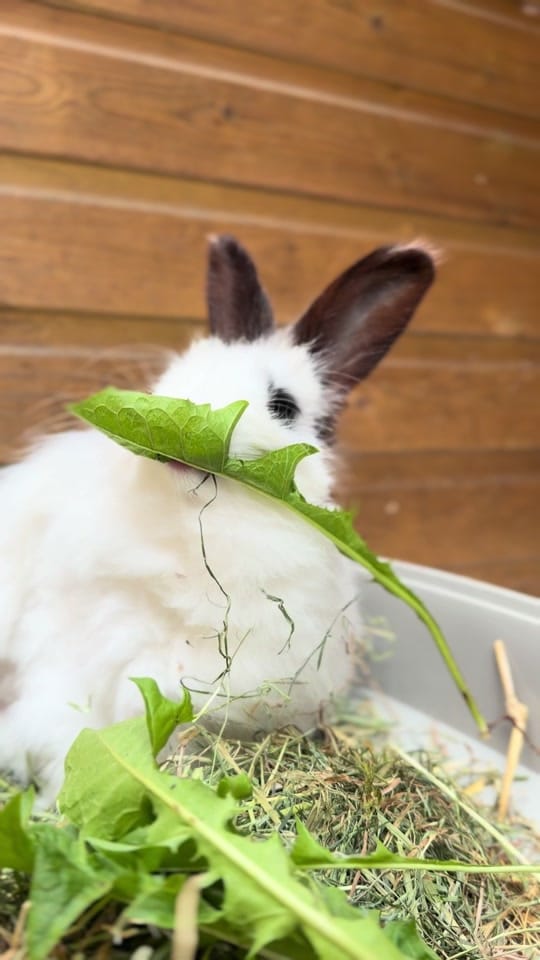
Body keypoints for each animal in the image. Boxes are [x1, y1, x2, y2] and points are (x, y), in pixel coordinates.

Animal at [0, 236, 434, 802]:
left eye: (283, 405)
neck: (192, 541)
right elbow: (60, 731)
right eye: (173, 375)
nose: (187, 417)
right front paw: (59, 797)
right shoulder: (66, 662)